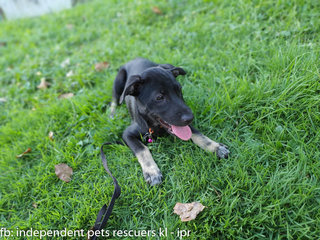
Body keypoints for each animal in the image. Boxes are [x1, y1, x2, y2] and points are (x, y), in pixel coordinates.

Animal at [110, 58, 230, 186]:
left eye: (179, 90)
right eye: (159, 98)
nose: (190, 117)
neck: (156, 127)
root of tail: (135, 59)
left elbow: (198, 134)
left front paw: (216, 148)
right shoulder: (127, 134)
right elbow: (142, 149)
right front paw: (152, 172)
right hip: (118, 82)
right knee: (115, 99)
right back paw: (112, 113)